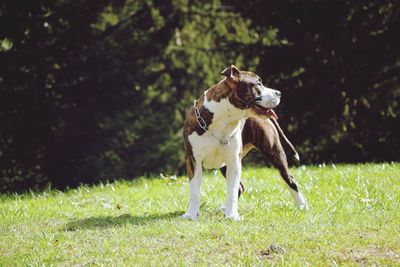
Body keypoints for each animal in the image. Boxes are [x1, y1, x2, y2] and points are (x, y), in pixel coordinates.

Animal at [183, 66, 308, 221]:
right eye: (258, 84)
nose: (279, 93)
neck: (223, 119)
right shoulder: (193, 161)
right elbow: (194, 190)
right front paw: (191, 215)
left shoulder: (234, 162)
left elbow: (231, 190)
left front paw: (232, 215)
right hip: (225, 166)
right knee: (240, 187)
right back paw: (223, 208)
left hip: (275, 153)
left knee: (290, 179)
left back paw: (301, 205)